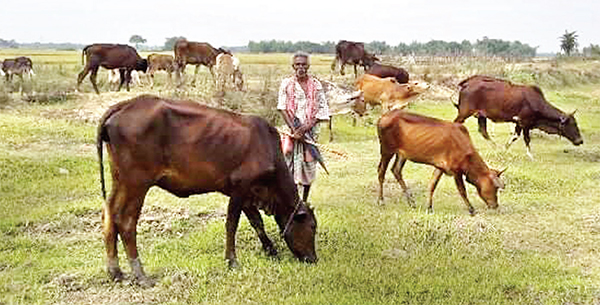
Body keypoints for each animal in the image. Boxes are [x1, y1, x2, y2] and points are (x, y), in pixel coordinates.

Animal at [96, 94, 316, 284]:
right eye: (312, 226)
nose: (313, 259)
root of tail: (126, 104)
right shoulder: (240, 187)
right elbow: (232, 224)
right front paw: (232, 261)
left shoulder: (246, 194)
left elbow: (257, 222)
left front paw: (271, 250)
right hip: (137, 183)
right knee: (125, 221)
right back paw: (140, 275)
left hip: (120, 180)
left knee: (109, 215)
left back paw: (115, 271)